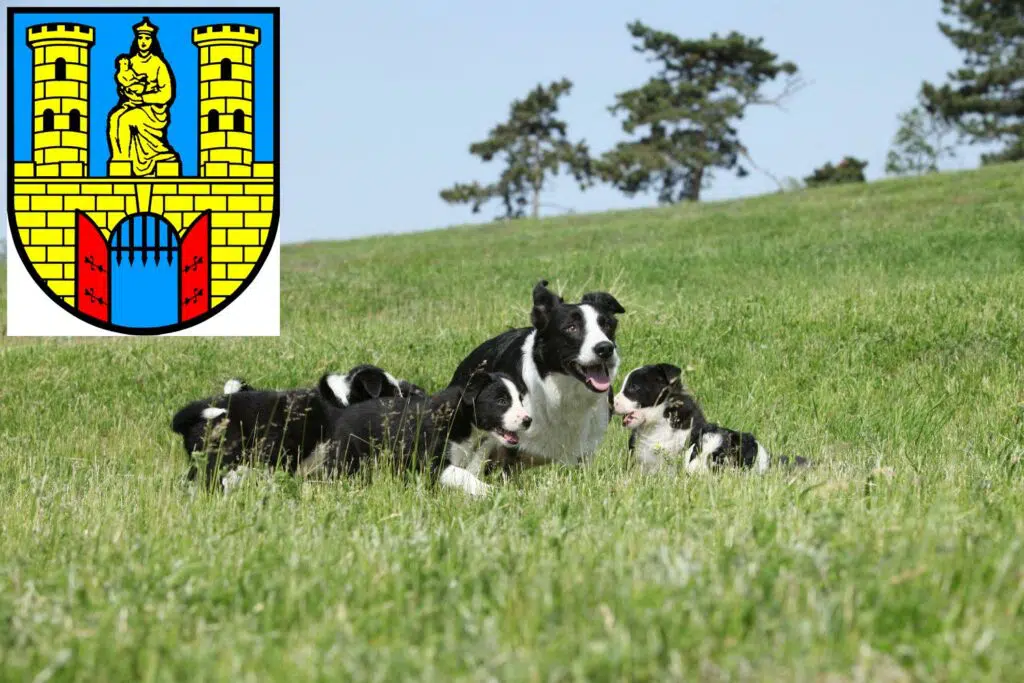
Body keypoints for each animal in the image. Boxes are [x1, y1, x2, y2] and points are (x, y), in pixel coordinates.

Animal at [323, 370, 532, 499]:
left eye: (520, 399)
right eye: (502, 400)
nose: (528, 420)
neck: (460, 417)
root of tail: (343, 412)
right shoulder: (431, 461)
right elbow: (463, 475)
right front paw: (496, 492)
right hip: (348, 457)